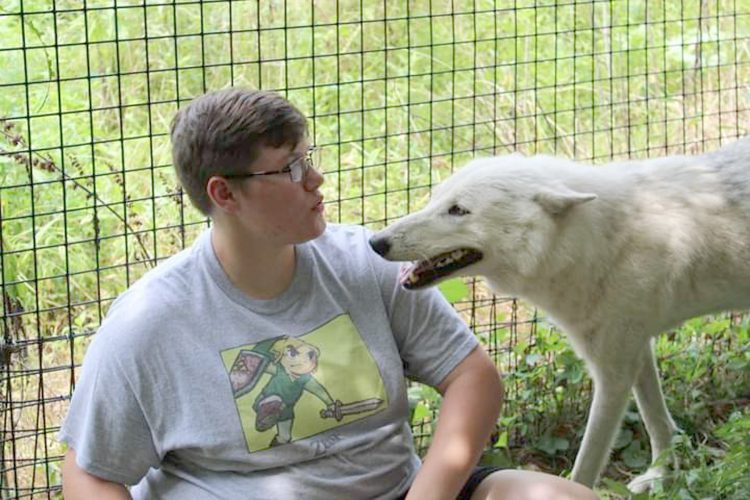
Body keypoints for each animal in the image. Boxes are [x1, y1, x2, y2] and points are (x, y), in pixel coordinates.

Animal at [369, 138, 750, 492]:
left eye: (458, 210)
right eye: (435, 199)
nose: (376, 242)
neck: (599, 243)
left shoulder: (613, 373)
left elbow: (587, 464)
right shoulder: (636, 349)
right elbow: (659, 422)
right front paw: (660, 477)